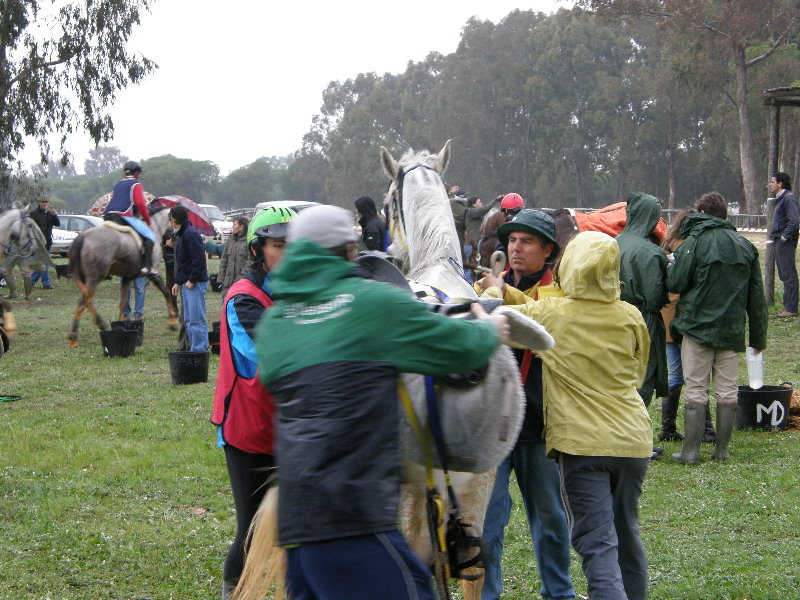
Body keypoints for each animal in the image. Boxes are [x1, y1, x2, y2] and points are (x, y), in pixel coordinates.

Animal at [66, 206, 177, 346]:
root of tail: (82, 236)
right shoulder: (154, 274)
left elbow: (122, 304)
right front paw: (173, 322)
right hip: (95, 278)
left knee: (87, 300)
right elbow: (167, 293)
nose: (174, 236)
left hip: (85, 278)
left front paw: (120, 325)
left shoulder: (127, 278)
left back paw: (100, 323)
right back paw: (74, 336)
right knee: (83, 301)